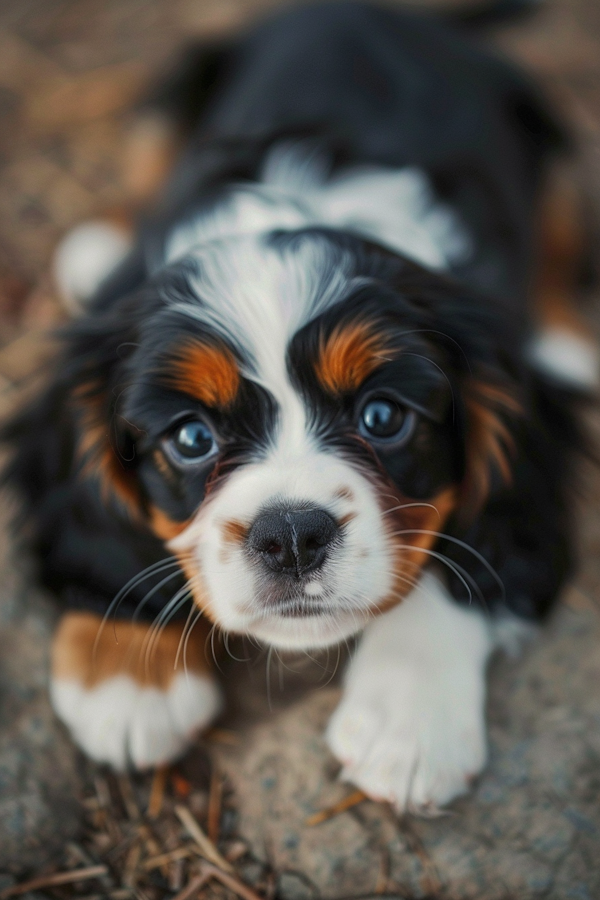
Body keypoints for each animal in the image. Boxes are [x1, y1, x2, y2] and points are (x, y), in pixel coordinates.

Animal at [3, 0, 596, 812]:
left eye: (383, 417)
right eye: (191, 437)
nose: (290, 536)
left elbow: (471, 545)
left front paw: (410, 718)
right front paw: (126, 676)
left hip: (544, 130)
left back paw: (567, 340)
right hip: (177, 88)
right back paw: (94, 243)